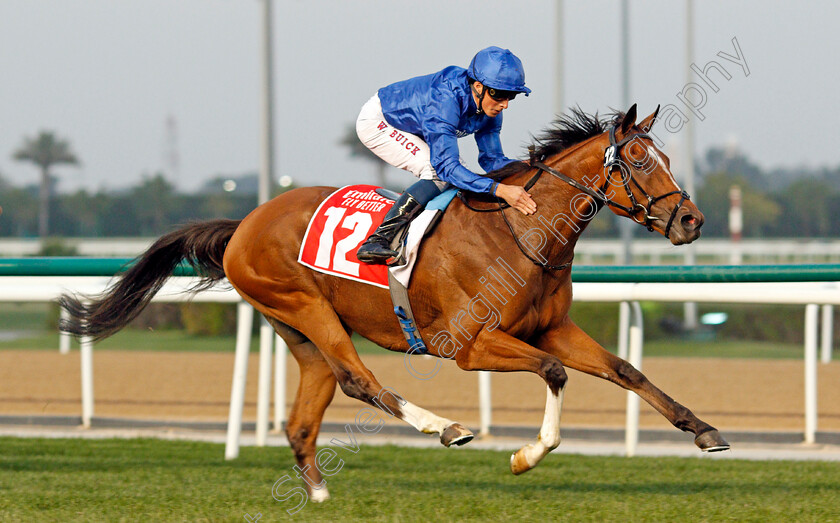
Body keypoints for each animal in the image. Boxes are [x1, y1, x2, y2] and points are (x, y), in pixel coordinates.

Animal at [60, 105, 728, 504]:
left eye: (666, 158)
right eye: (639, 160)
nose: (692, 221)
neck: (523, 229)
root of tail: (244, 223)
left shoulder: (552, 327)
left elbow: (625, 370)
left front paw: (704, 431)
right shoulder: (470, 345)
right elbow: (555, 373)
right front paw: (526, 455)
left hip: (297, 330)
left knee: (308, 409)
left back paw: (318, 493)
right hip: (304, 307)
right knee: (358, 381)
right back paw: (445, 427)